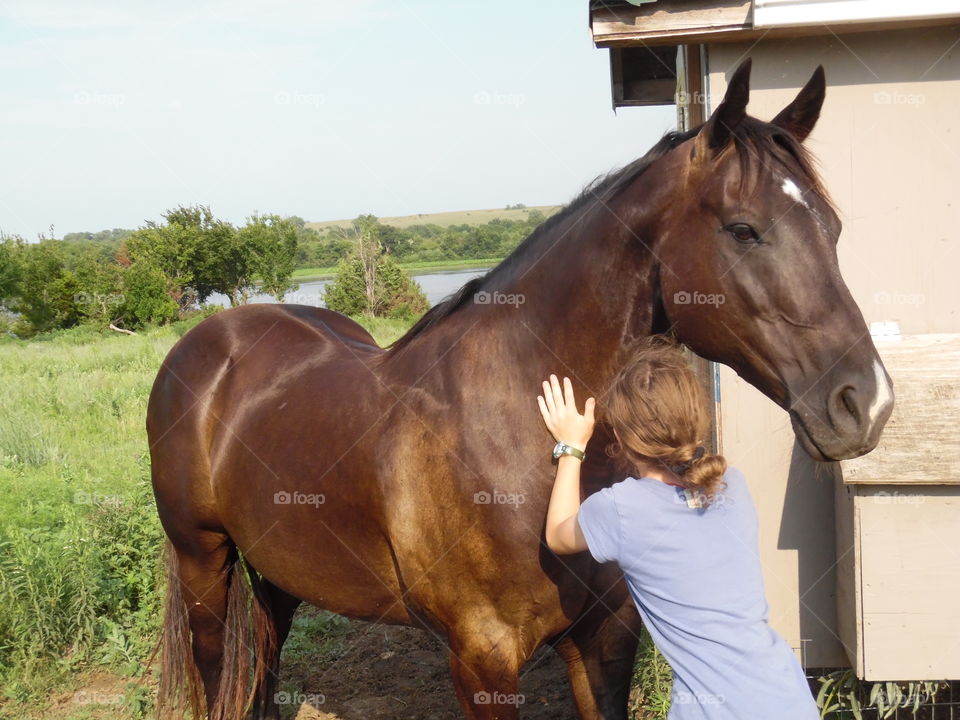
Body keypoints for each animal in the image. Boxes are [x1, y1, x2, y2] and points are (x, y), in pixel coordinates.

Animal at [148, 59, 893, 720]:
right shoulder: (481, 662)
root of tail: (208, 343)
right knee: (216, 678)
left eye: (832, 228)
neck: (514, 430)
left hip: (276, 574)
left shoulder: (603, 639)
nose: (867, 403)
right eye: (743, 229)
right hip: (204, 567)